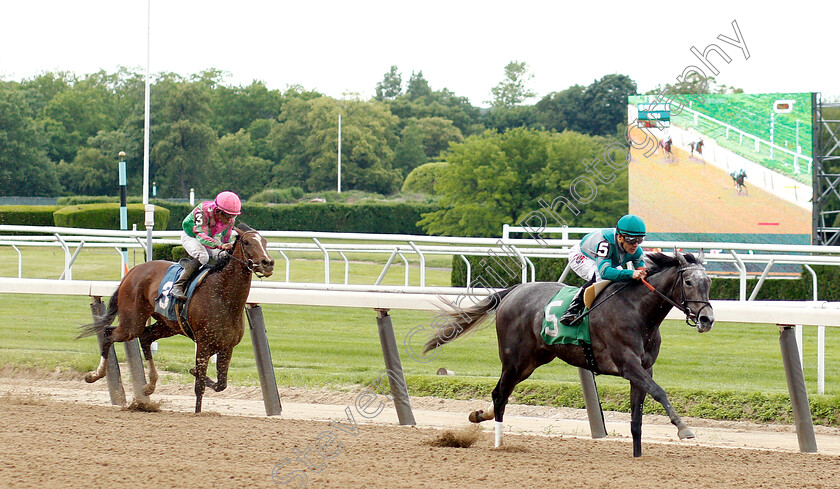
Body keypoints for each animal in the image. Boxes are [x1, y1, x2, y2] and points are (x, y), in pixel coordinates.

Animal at [77, 223, 274, 410]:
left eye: (265, 242)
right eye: (247, 242)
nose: (268, 263)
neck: (223, 295)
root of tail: (133, 271)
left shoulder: (227, 346)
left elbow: (221, 385)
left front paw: (194, 372)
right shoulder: (203, 344)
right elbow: (199, 387)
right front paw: (197, 404)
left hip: (167, 325)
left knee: (145, 337)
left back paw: (149, 386)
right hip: (132, 322)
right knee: (109, 333)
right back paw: (95, 375)